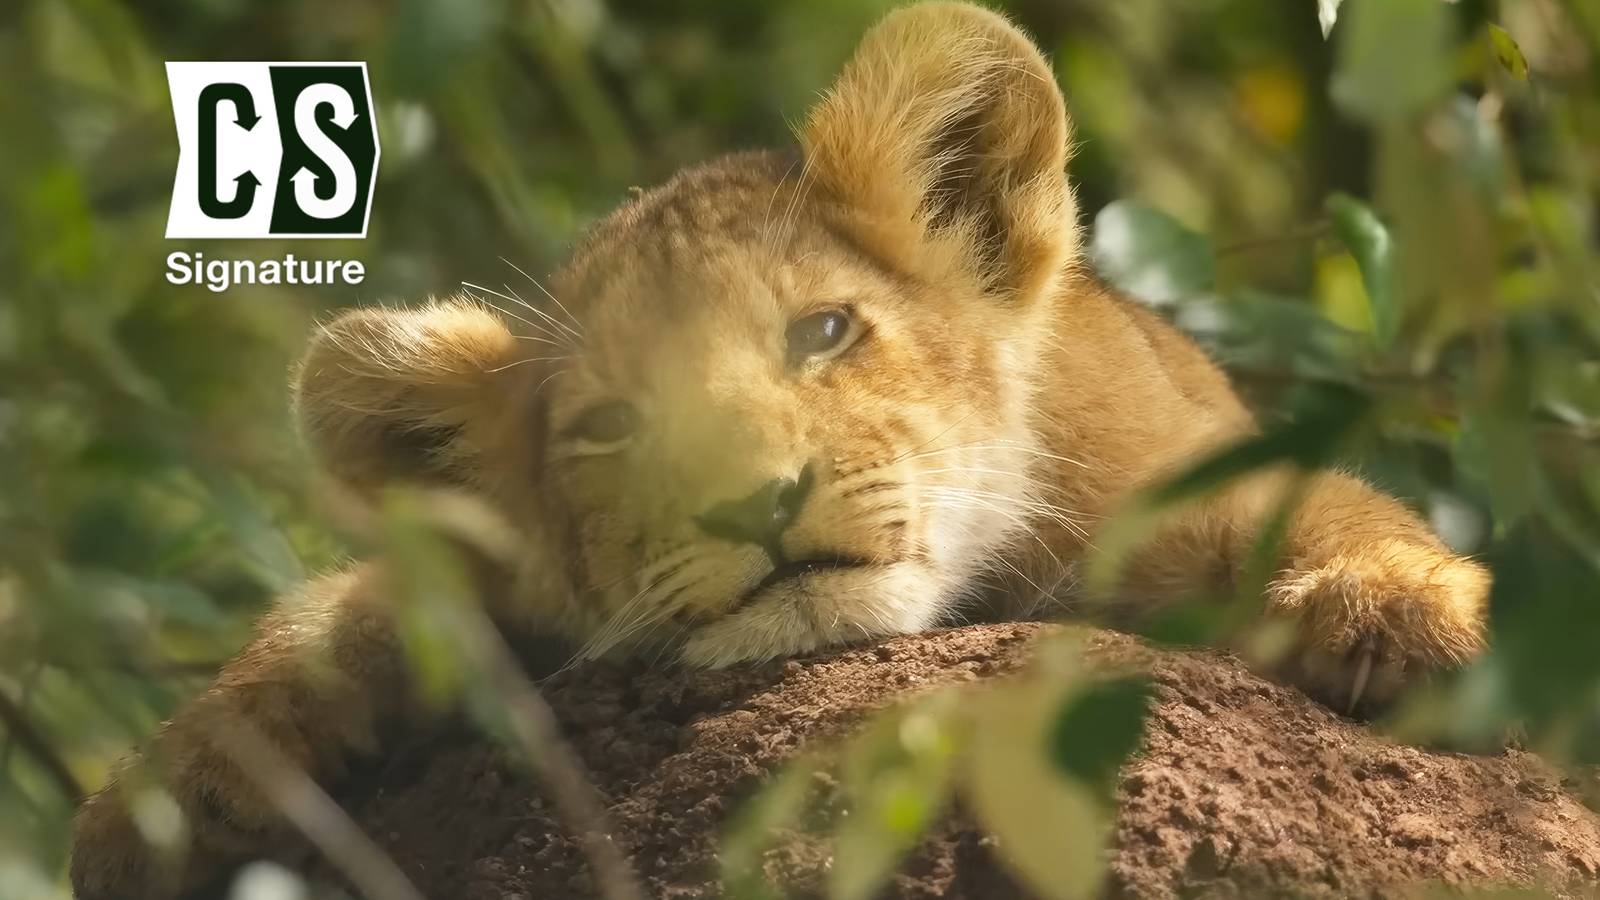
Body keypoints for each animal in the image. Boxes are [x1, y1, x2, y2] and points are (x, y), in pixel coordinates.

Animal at [70, 3, 1489, 896]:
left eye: (823, 331)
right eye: (608, 427)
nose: (755, 505)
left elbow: (1319, 504)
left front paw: (1406, 614)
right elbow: (355, 602)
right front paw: (172, 788)